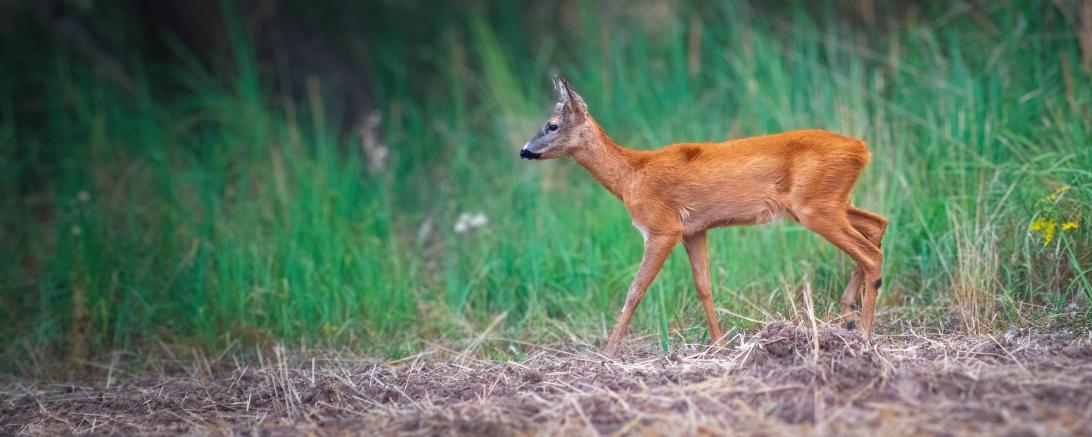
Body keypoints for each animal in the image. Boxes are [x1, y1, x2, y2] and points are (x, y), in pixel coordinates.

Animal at [520, 75, 887, 356]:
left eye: (552, 125)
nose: (524, 150)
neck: (631, 176)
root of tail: (862, 149)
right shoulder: (694, 230)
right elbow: (704, 286)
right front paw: (720, 345)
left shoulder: (662, 227)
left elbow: (635, 289)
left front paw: (607, 353)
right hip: (831, 203)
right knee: (877, 225)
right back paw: (849, 316)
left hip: (815, 206)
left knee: (871, 252)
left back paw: (864, 334)